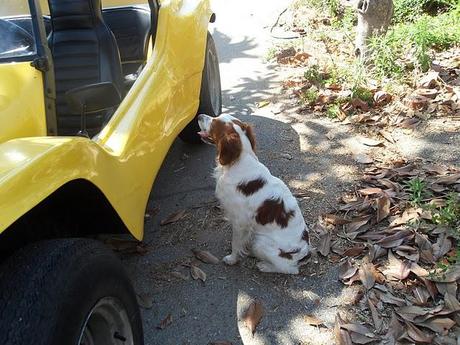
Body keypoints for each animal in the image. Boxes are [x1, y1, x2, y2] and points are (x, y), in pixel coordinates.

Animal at [197, 113, 310, 274]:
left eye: (214, 122)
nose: (199, 115)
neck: (238, 162)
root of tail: (305, 253)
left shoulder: (239, 221)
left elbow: (235, 244)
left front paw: (232, 259)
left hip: (260, 243)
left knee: (290, 270)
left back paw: (264, 266)